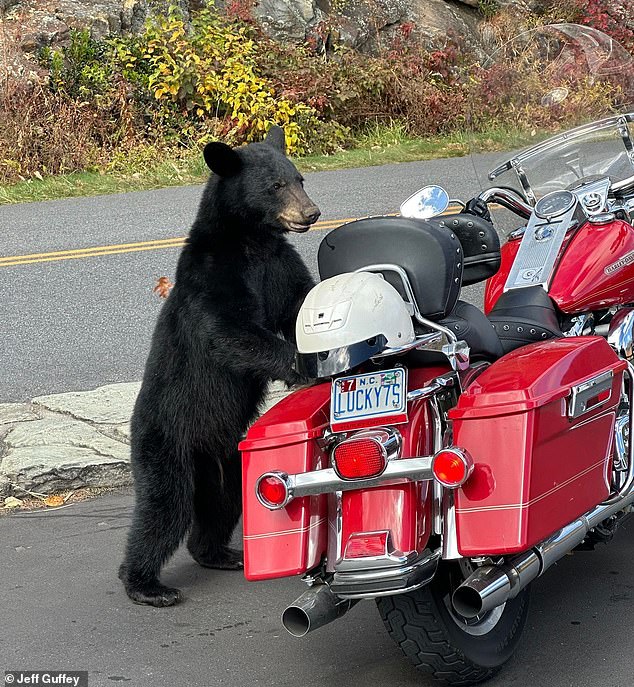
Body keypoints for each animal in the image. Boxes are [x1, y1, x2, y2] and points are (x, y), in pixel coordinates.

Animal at [118, 126, 318, 604]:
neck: (251, 240)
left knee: (223, 502)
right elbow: (229, 331)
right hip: (164, 442)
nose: (311, 213)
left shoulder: (279, 265)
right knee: (164, 510)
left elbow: (299, 302)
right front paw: (301, 364)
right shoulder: (213, 275)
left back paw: (220, 553)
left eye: (300, 177)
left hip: (224, 459)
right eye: (275, 185)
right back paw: (145, 585)